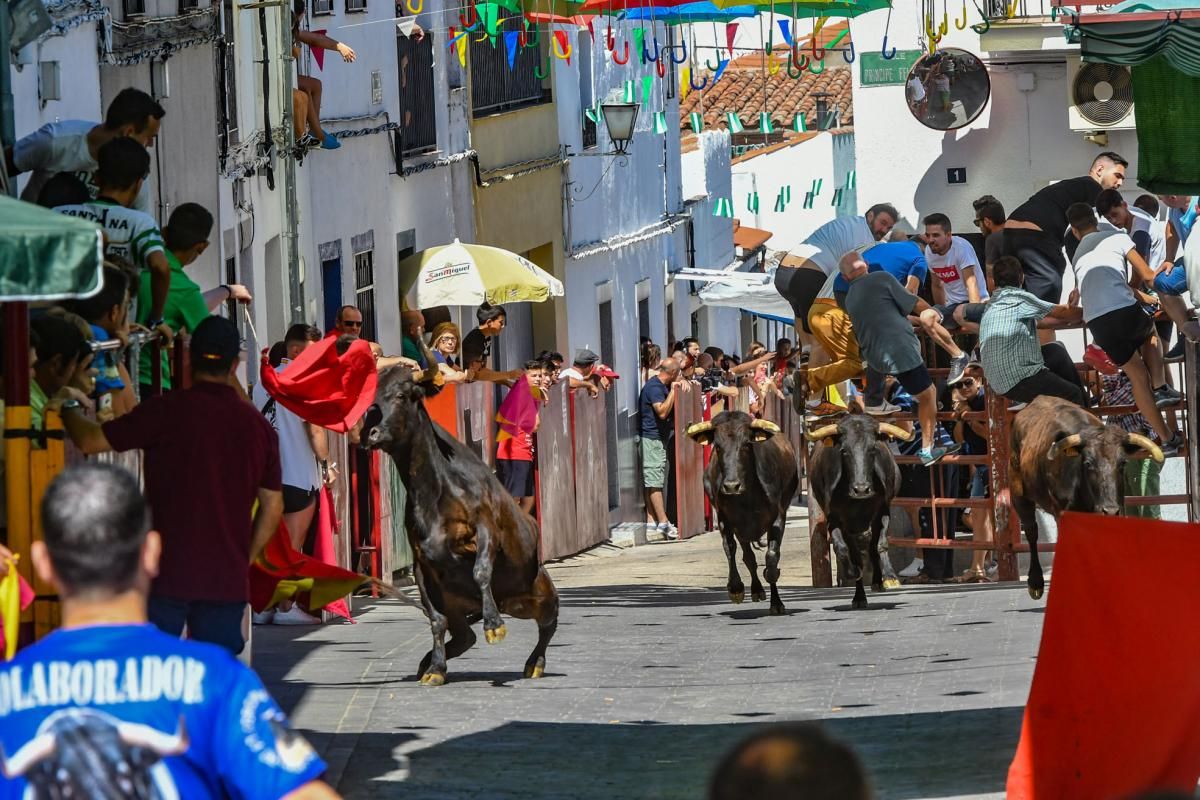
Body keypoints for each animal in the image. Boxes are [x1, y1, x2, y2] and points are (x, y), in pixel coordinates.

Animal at [360, 350, 556, 690]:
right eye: (370, 400)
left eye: (400, 395)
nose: (368, 434)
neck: (436, 489)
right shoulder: (422, 562)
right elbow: (435, 620)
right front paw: (436, 669)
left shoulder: (486, 530)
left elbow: (480, 571)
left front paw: (494, 625)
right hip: (460, 604)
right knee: (464, 637)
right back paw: (428, 662)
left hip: (539, 591)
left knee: (548, 622)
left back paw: (534, 663)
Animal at [686, 412, 796, 614]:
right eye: (717, 446)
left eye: (746, 444)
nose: (731, 486)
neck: (747, 496)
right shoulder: (726, 520)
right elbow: (730, 549)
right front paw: (736, 588)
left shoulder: (778, 517)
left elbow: (772, 557)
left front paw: (776, 601)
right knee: (748, 558)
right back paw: (757, 590)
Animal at [811, 417, 912, 609]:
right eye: (844, 451)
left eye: (872, 449)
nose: (861, 489)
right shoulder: (836, 518)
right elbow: (843, 549)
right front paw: (853, 573)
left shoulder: (882, 511)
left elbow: (880, 545)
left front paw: (888, 577)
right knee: (856, 553)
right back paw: (859, 596)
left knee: (872, 547)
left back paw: (878, 581)